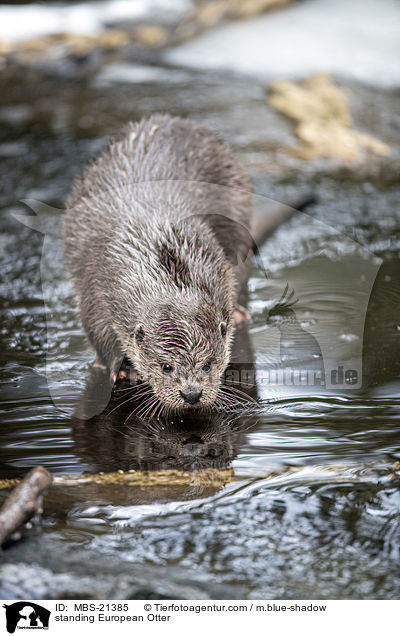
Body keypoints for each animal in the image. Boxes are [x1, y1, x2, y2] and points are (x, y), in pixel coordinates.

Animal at [64, 114, 255, 412]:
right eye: (166, 366)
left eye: (207, 364)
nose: (191, 394)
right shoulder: (94, 290)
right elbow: (97, 333)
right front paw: (119, 368)